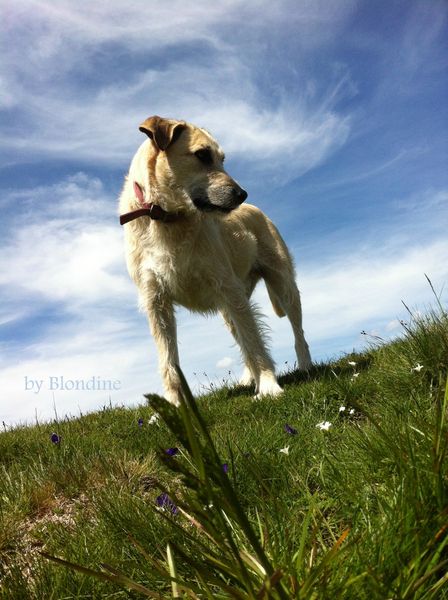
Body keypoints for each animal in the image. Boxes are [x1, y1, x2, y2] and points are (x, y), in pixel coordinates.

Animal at [119, 115, 312, 406]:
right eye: (202, 154)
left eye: (222, 158)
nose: (242, 194)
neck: (166, 219)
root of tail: (257, 210)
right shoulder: (156, 302)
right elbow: (168, 360)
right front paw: (174, 405)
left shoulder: (227, 287)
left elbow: (255, 343)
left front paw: (268, 386)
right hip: (230, 308)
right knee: (243, 337)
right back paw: (248, 378)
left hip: (282, 285)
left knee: (295, 332)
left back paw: (305, 366)